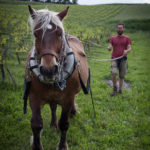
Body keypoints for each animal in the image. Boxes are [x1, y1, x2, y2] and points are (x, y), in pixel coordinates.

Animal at [24, 5, 89, 149]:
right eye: (35, 34)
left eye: (59, 34)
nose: (48, 70)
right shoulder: (33, 97)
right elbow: (36, 124)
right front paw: (37, 145)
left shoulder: (68, 99)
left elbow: (64, 124)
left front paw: (62, 145)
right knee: (53, 106)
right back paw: (53, 124)